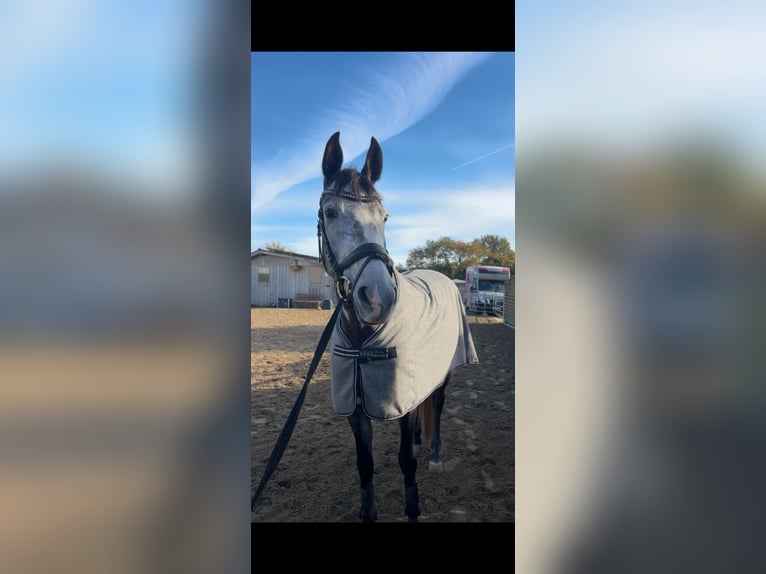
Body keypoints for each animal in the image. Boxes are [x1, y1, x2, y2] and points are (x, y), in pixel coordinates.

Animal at [318, 131, 479, 522]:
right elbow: (365, 466)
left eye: (384, 216)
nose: (377, 297)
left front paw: (413, 508)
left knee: (437, 404)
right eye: (330, 212)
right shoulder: (355, 407)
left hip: (442, 373)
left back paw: (433, 455)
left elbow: (406, 461)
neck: (364, 341)